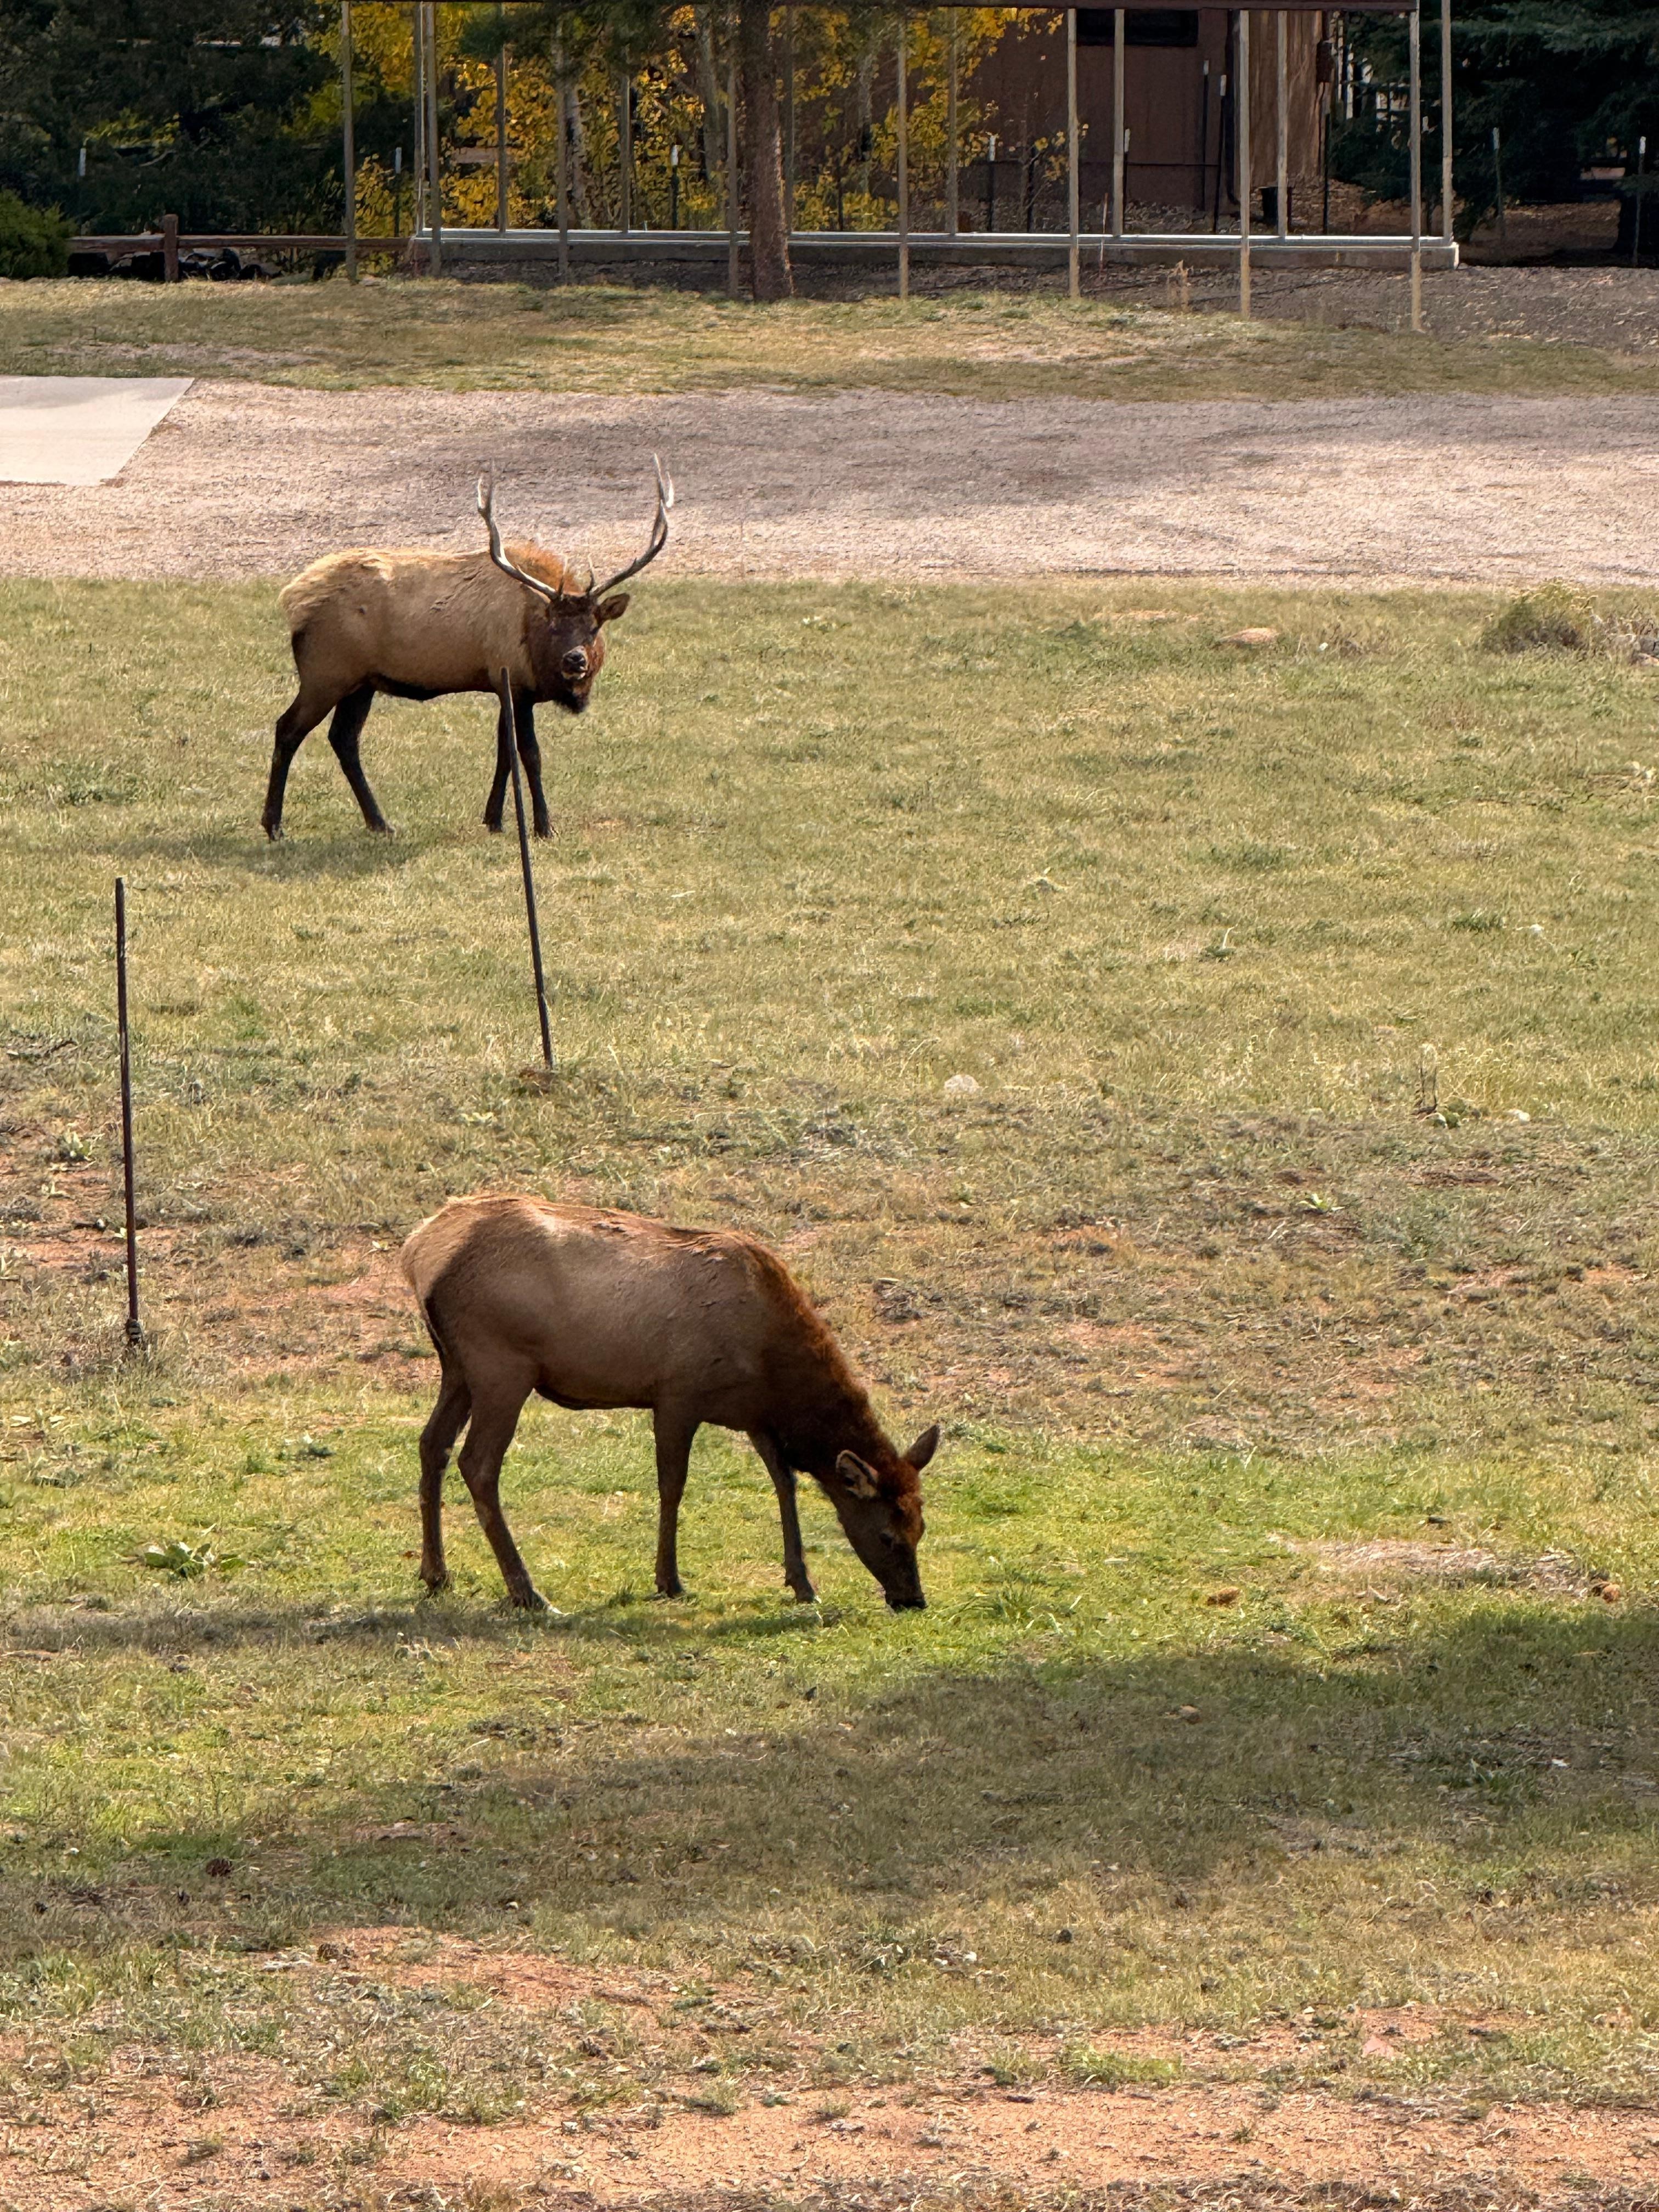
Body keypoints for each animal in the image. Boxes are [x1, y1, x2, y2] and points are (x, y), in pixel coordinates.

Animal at [262, 461, 672, 841]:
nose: (575, 660)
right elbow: (530, 754)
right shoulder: (516, 683)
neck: (535, 647)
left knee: (344, 739)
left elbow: (504, 752)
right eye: (554, 623)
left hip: (362, 683)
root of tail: (292, 601)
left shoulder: (502, 684)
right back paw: (274, 825)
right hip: (326, 673)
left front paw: (494, 819)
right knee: (288, 728)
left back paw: (380, 823)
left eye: (594, 626)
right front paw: (544, 826)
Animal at [399, 1193, 938, 1615]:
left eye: (921, 1527)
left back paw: (436, 1572)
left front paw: (803, 1583)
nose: (913, 1599)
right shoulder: (678, 1394)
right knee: (478, 1464)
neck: (774, 1371)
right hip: (503, 1365)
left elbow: (783, 1484)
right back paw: (528, 1592)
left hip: (458, 1368)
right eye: (887, 1535)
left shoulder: (754, 1416)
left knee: (432, 1445)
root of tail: (419, 1251)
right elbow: (673, 1485)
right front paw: (669, 1580)